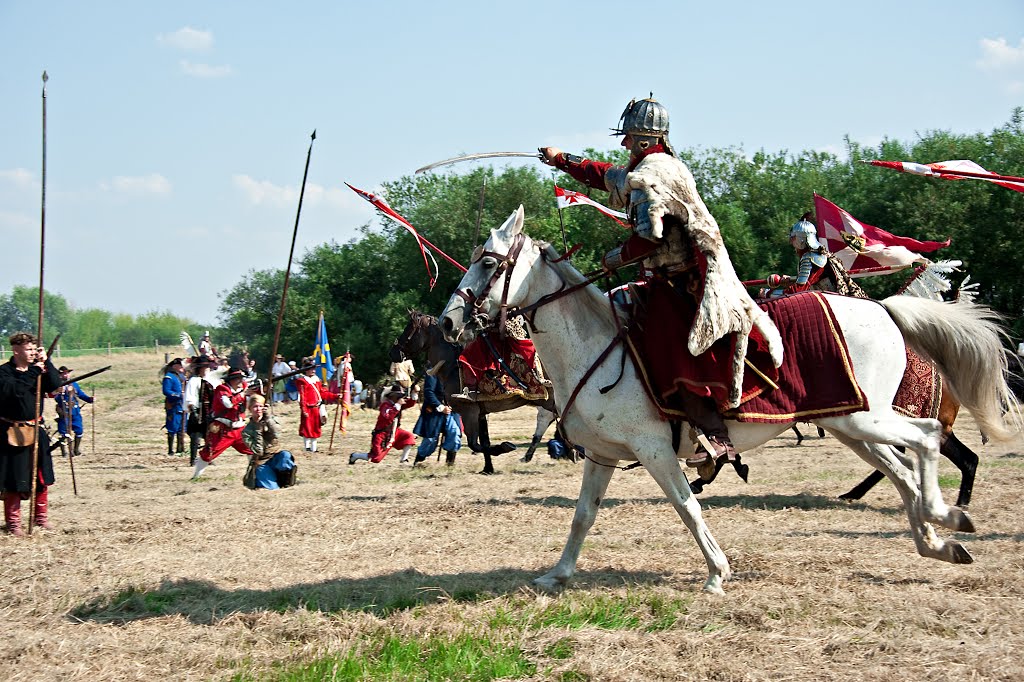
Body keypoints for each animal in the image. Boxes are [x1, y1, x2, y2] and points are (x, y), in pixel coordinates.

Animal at [387, 309, 557, 473]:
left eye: (409, 329)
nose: (393, 352)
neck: (451, 365)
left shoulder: (469, 411)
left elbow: (474, 443)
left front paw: (504, 447)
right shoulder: (480, 413)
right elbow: (483, 441)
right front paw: (488, 468)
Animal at [438, 204, 1015, 593]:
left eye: (490, 265)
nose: (447, 323)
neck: (597, 345)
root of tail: (884, 309)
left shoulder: (654, 450)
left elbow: (687, 506)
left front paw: (717, 572)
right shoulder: (602, 455)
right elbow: (583, 516)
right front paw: (556, 575)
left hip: (870, 419)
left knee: (927, 439)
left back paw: (946, 515)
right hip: (852, 425)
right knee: (901, 471)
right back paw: (938, 541)